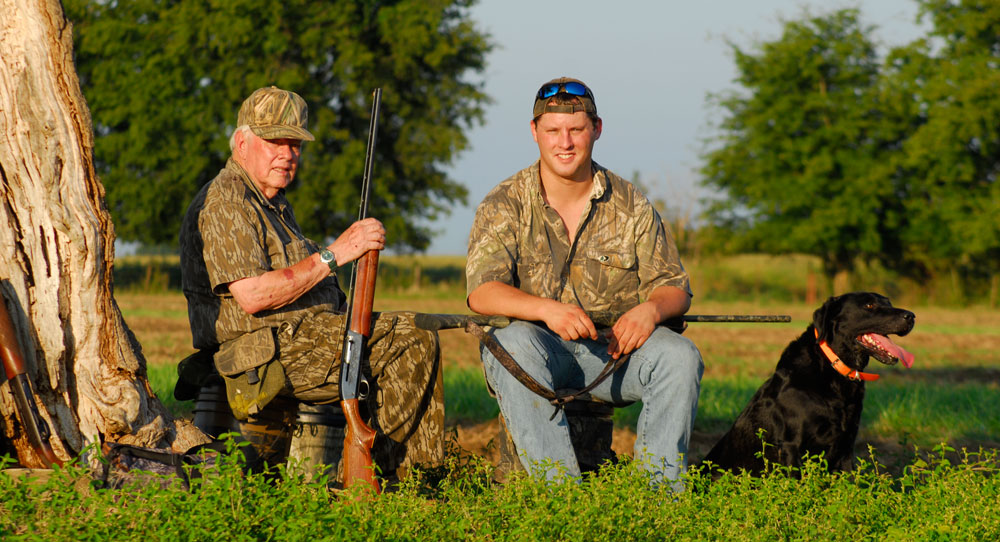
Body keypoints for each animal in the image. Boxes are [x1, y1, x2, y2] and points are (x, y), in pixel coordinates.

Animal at [704, 294, 916, 476]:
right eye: (869, 305)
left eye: (889, 303)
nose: (911, 316)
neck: (834, 367)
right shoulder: (791, 445)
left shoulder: (846, 446)